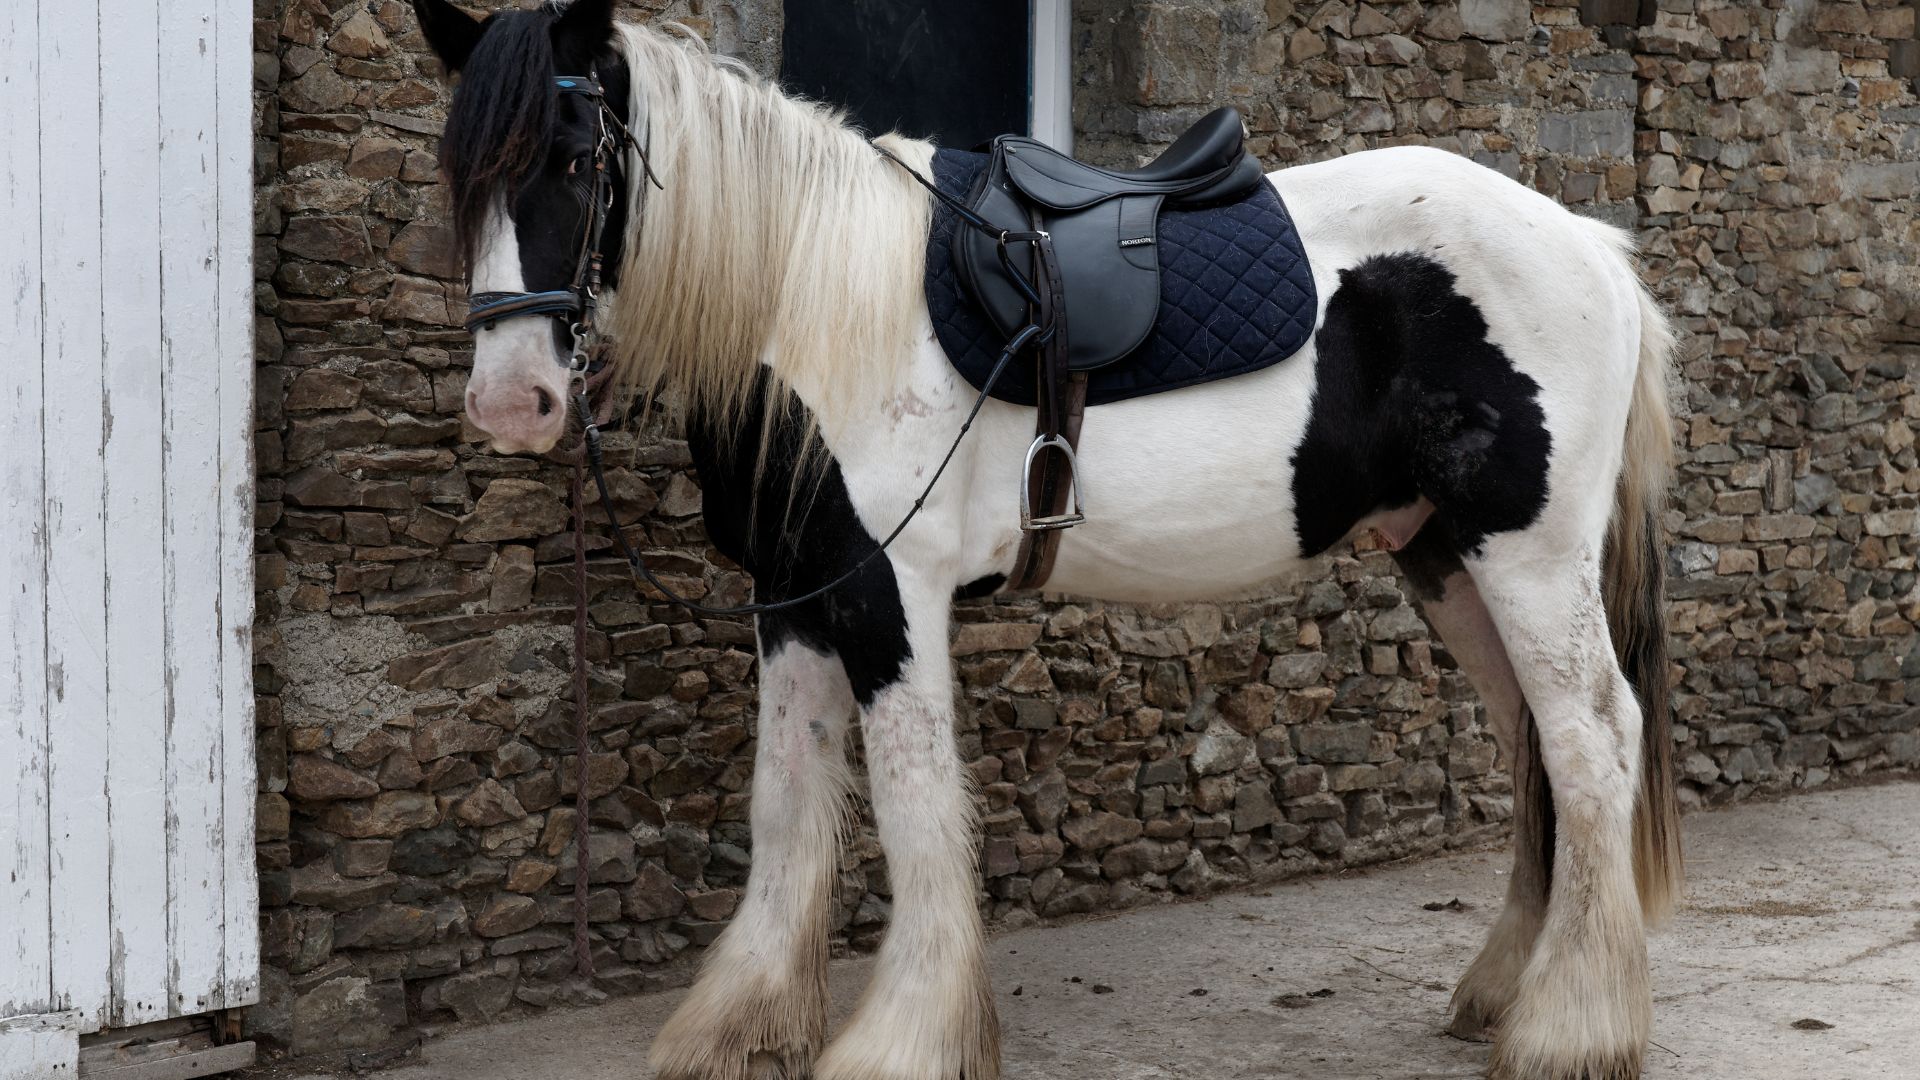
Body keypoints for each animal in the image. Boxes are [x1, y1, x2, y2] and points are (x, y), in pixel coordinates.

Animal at [412, 2, 1684, 1078]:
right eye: (460, 172)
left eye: (577, 158)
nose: (512, 401)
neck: (812, 295)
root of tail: (1589, 244)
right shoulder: (795, 594)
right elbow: (789, 799)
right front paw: (742, 1023)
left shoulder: (889, 587)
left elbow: (915, 802)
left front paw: (906, 1040)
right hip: (1447, 557)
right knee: (1537, 741)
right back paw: (1506, 991)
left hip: (1529, 557)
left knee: (1590, 737)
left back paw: (1570, 1028)